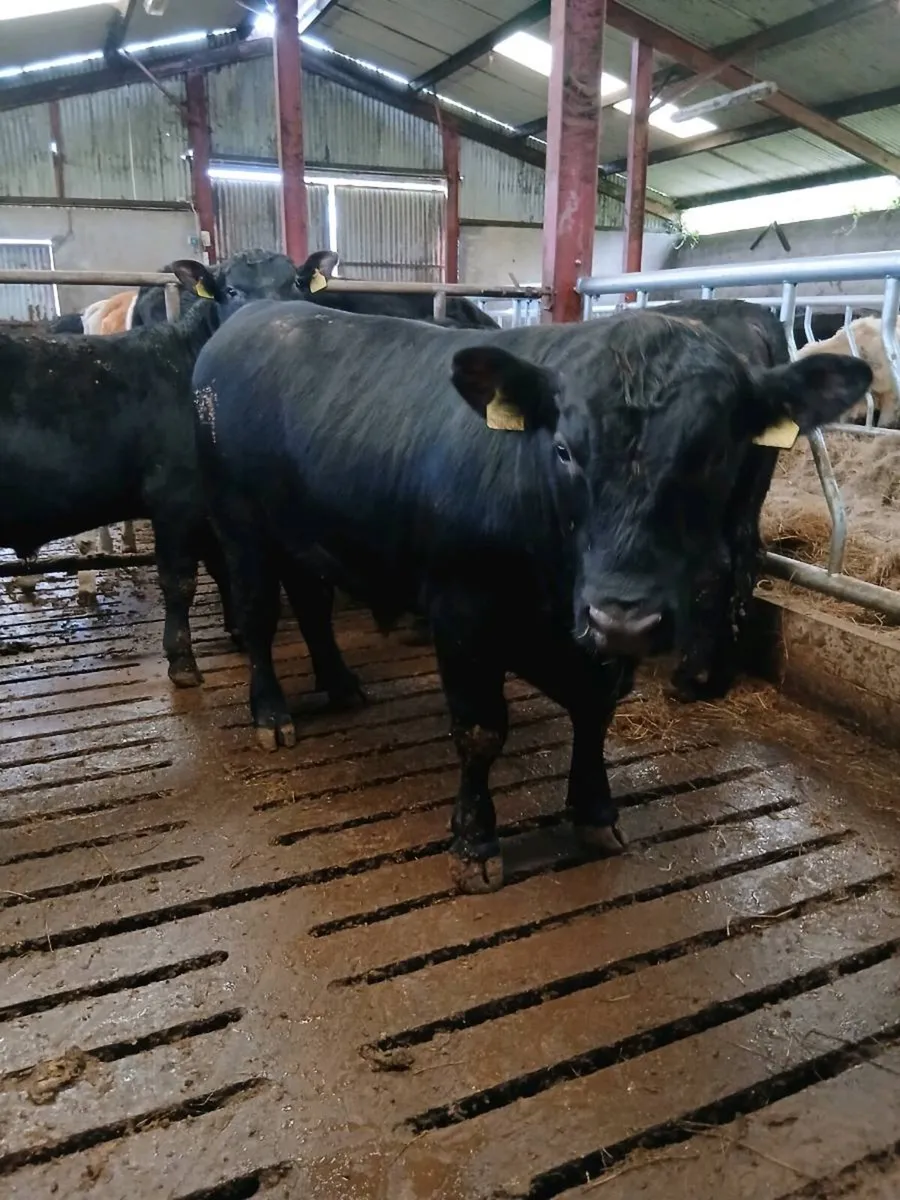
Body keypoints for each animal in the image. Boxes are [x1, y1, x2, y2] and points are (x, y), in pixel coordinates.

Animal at [0, 259, 262, 687]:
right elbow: (179, 580)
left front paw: (238, 628)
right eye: (231, 291)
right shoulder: (176, 497)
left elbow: (220, 565)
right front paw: (182, 661)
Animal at [191, 301, 870, 891]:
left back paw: (340, 684)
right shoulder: (461, 615)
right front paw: (475, 844)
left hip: (302, 536)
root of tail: (254, 313)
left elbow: (595, 712)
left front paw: (595, 813)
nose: (624, 617)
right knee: (258, 616)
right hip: (238, 527)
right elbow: (480, 731)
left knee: (311, 603)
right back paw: (272, 714)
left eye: (714, 455)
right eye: (564, 449)